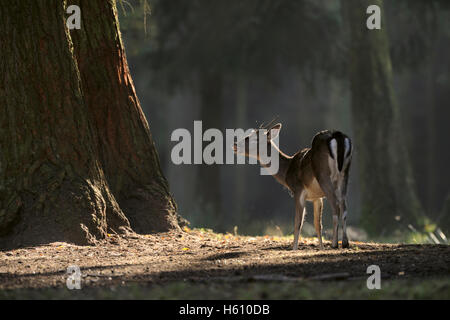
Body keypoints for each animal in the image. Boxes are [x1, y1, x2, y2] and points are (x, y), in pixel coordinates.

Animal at [234, 122, 354, 250]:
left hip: (324, 176)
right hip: (345, 175)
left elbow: (298, 223)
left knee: (336, 206)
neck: (287, 171)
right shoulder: (317, 197)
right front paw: (321, 248)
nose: (235, 144)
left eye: (255, 138)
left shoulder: (298, 190)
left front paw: (294, 248)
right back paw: (345, 243)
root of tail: (337, 136)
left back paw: (335, 244)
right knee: (344, 207)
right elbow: (318, 225)